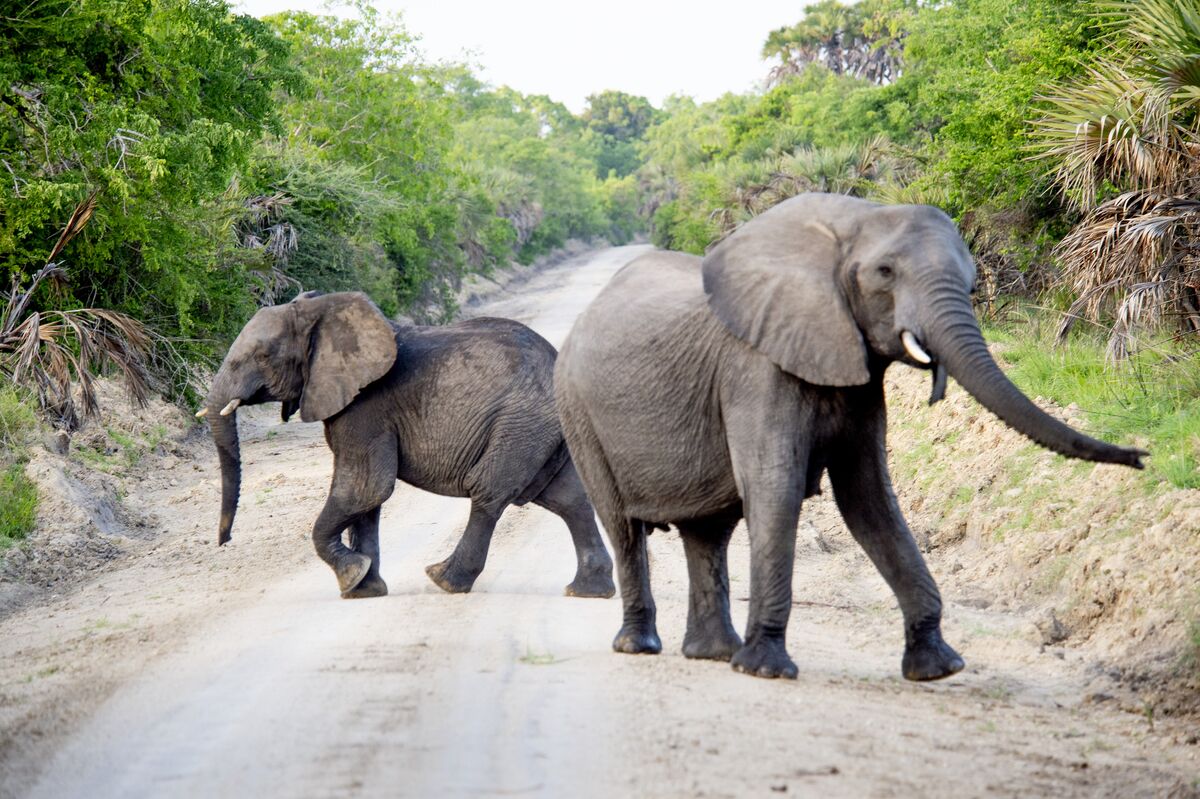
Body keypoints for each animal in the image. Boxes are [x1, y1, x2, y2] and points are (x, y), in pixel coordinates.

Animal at [199, 290, 615, 600]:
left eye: (262, 356)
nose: (224, 541)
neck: (324, 312)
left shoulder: (367, 407)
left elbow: (365, 488)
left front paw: (352, 577)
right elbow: (367, 500)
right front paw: (365, 588)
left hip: (520, 424)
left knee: (489, 492)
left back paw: (444, 580)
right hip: (542, 431)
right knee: (568, 498)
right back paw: (587, 592)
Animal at [554, 192, 1145, 681]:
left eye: (973, 283)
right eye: (884, 272)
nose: (1142, 455)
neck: (851, 224)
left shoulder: (858, 378)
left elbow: (869, 497)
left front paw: (939, 669)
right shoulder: (754, 367)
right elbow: (776, 488)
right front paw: (766, 670)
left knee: (708, 531)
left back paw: (713, 655)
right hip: (577, 412)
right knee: (623, 526)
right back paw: (641, 646)